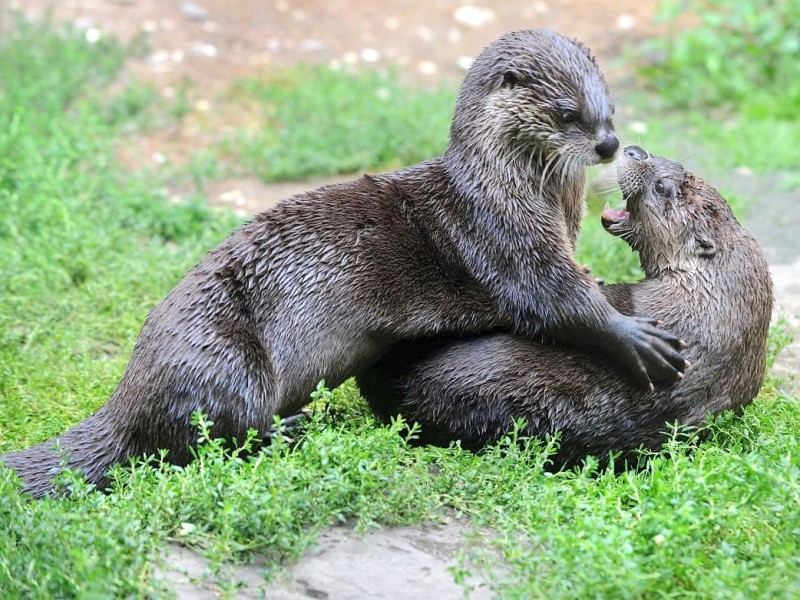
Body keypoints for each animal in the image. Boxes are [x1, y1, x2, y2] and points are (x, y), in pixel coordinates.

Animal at [1, 29, 688, 496]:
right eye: (568, 114)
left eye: (610, 109)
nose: (609, 145)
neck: (511, 189)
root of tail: (129, 394)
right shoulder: (506, 240)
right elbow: (554, 299)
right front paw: (638, 339)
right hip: (221, 355)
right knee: (203, 437)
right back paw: (293, 426)